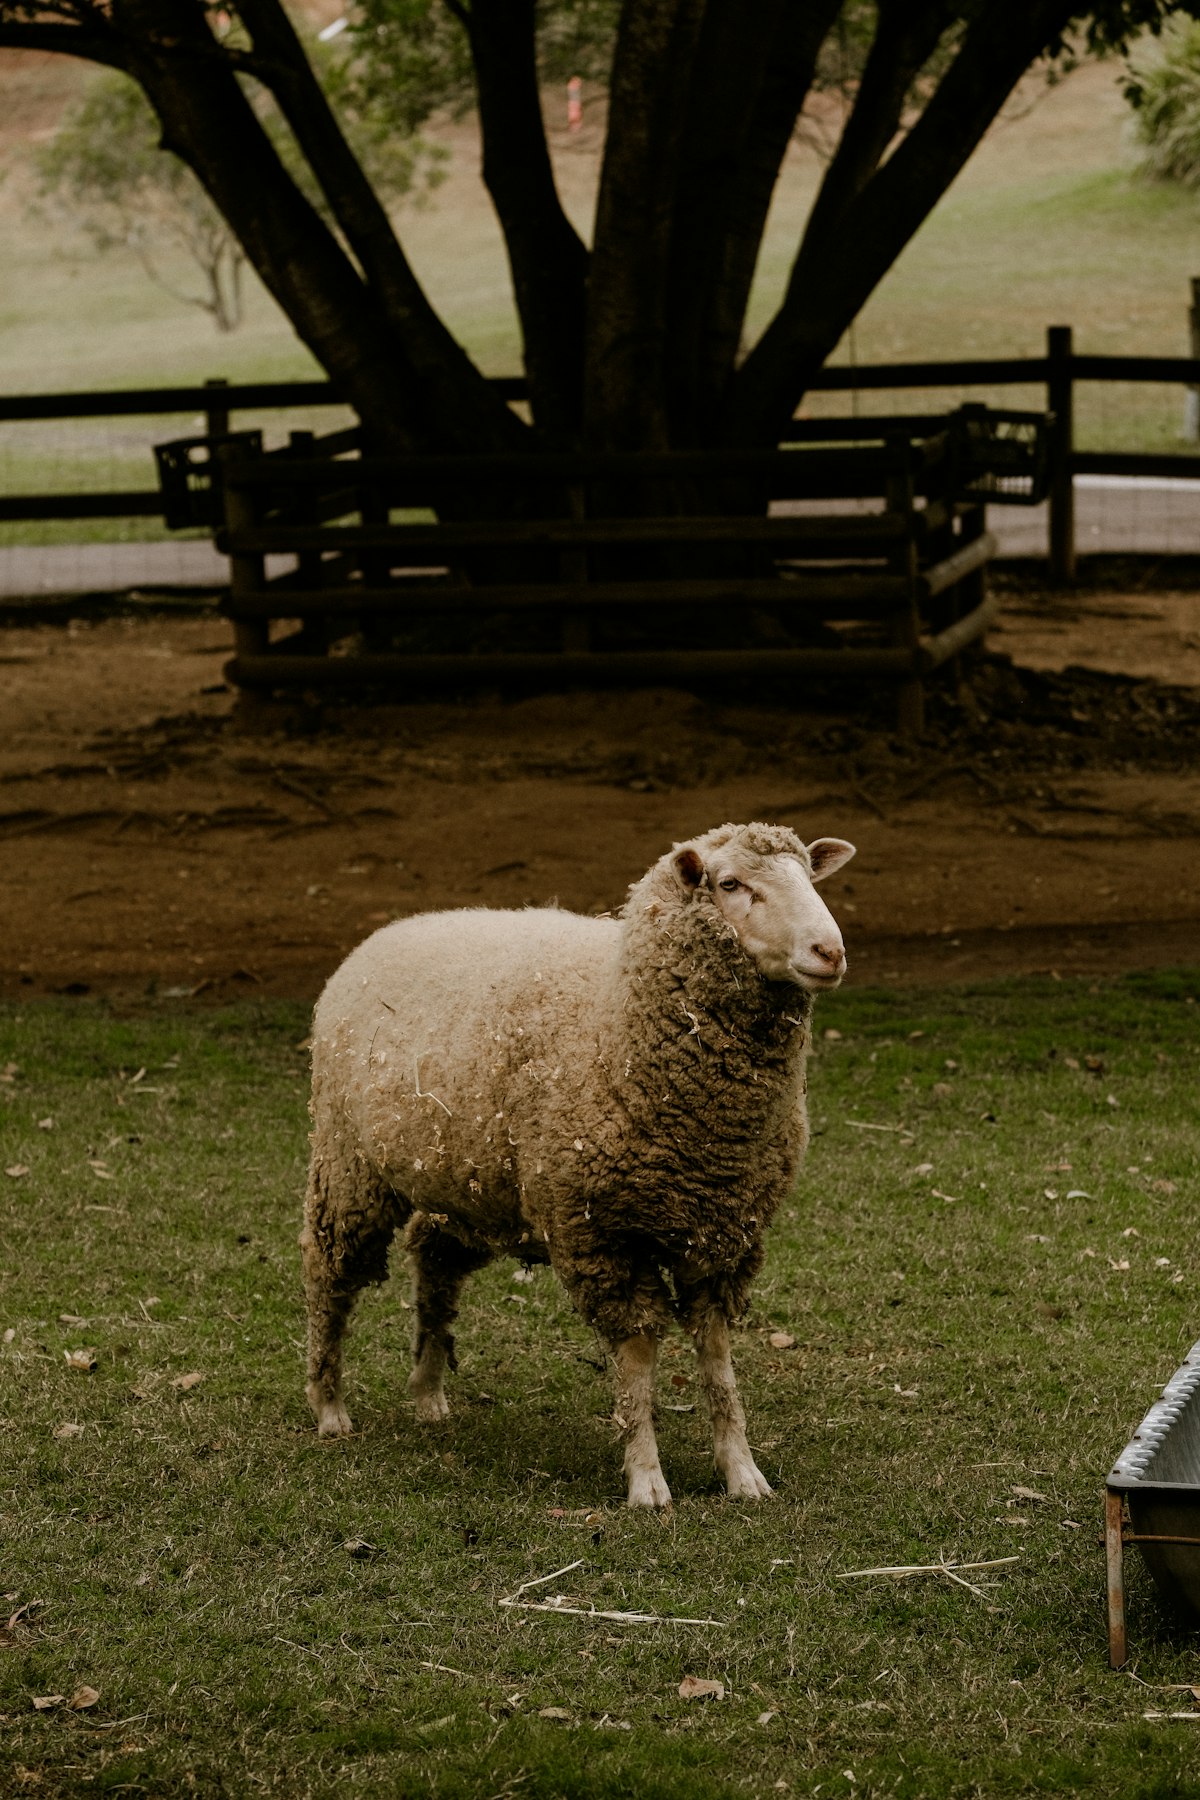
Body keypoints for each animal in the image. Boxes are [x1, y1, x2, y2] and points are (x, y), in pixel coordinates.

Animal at [301, 820, 855, 1506]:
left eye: (810, 874)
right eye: (730, 884)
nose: (829, 952)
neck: (617, 1012)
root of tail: (392, 930)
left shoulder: (719, 1234)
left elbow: (718, 1359)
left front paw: (741, 1471)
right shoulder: (602, 1235)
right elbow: (637, 1360)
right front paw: (646, 1478)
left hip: (460, 1184)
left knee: (434, 1263)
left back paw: (428, 1393)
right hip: (348, 1163)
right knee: (329, 1274)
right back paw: (329, 1405)